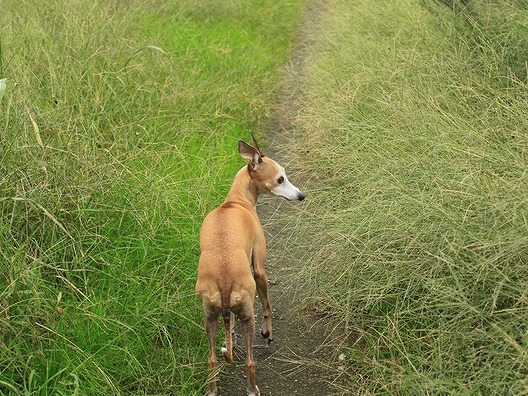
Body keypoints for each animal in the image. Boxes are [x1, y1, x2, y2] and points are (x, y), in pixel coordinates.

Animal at [195, 136, 306, 396]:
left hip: (209, 317)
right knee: (249, 361)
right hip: (248, 315)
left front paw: (230, 341)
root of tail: (224, 282)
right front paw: (268, 333)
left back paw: (213, 386)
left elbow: (230, 329)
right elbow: (267, 306)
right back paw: (253, 388)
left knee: (212, 359)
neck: (236, 202)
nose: (302, 195)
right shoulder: (259, 270)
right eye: (280, 179)